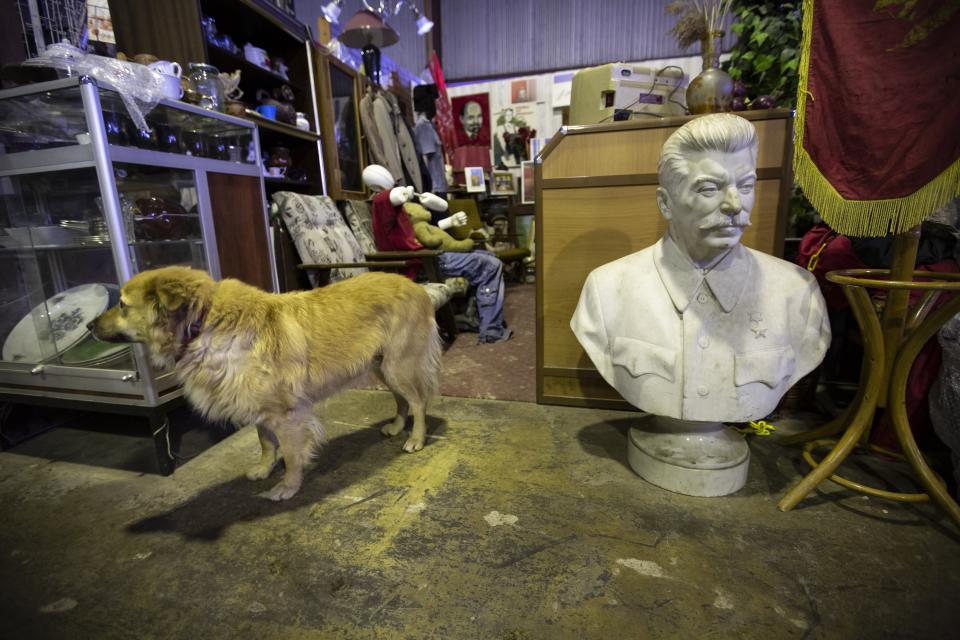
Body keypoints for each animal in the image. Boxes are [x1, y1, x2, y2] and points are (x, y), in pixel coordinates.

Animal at [88, 264, 440, 500]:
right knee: (402, 399)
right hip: (381, 366)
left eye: (122, 304)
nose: (89, 325)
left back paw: (416, 438)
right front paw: (264, 468)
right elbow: (266, 442)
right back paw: (397, 426)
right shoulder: (258, 406)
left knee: (419, 400)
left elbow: (292, 454)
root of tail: (416, 286)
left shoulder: (287, 414)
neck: (204, 322)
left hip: (397, 365)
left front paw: (287, 486)